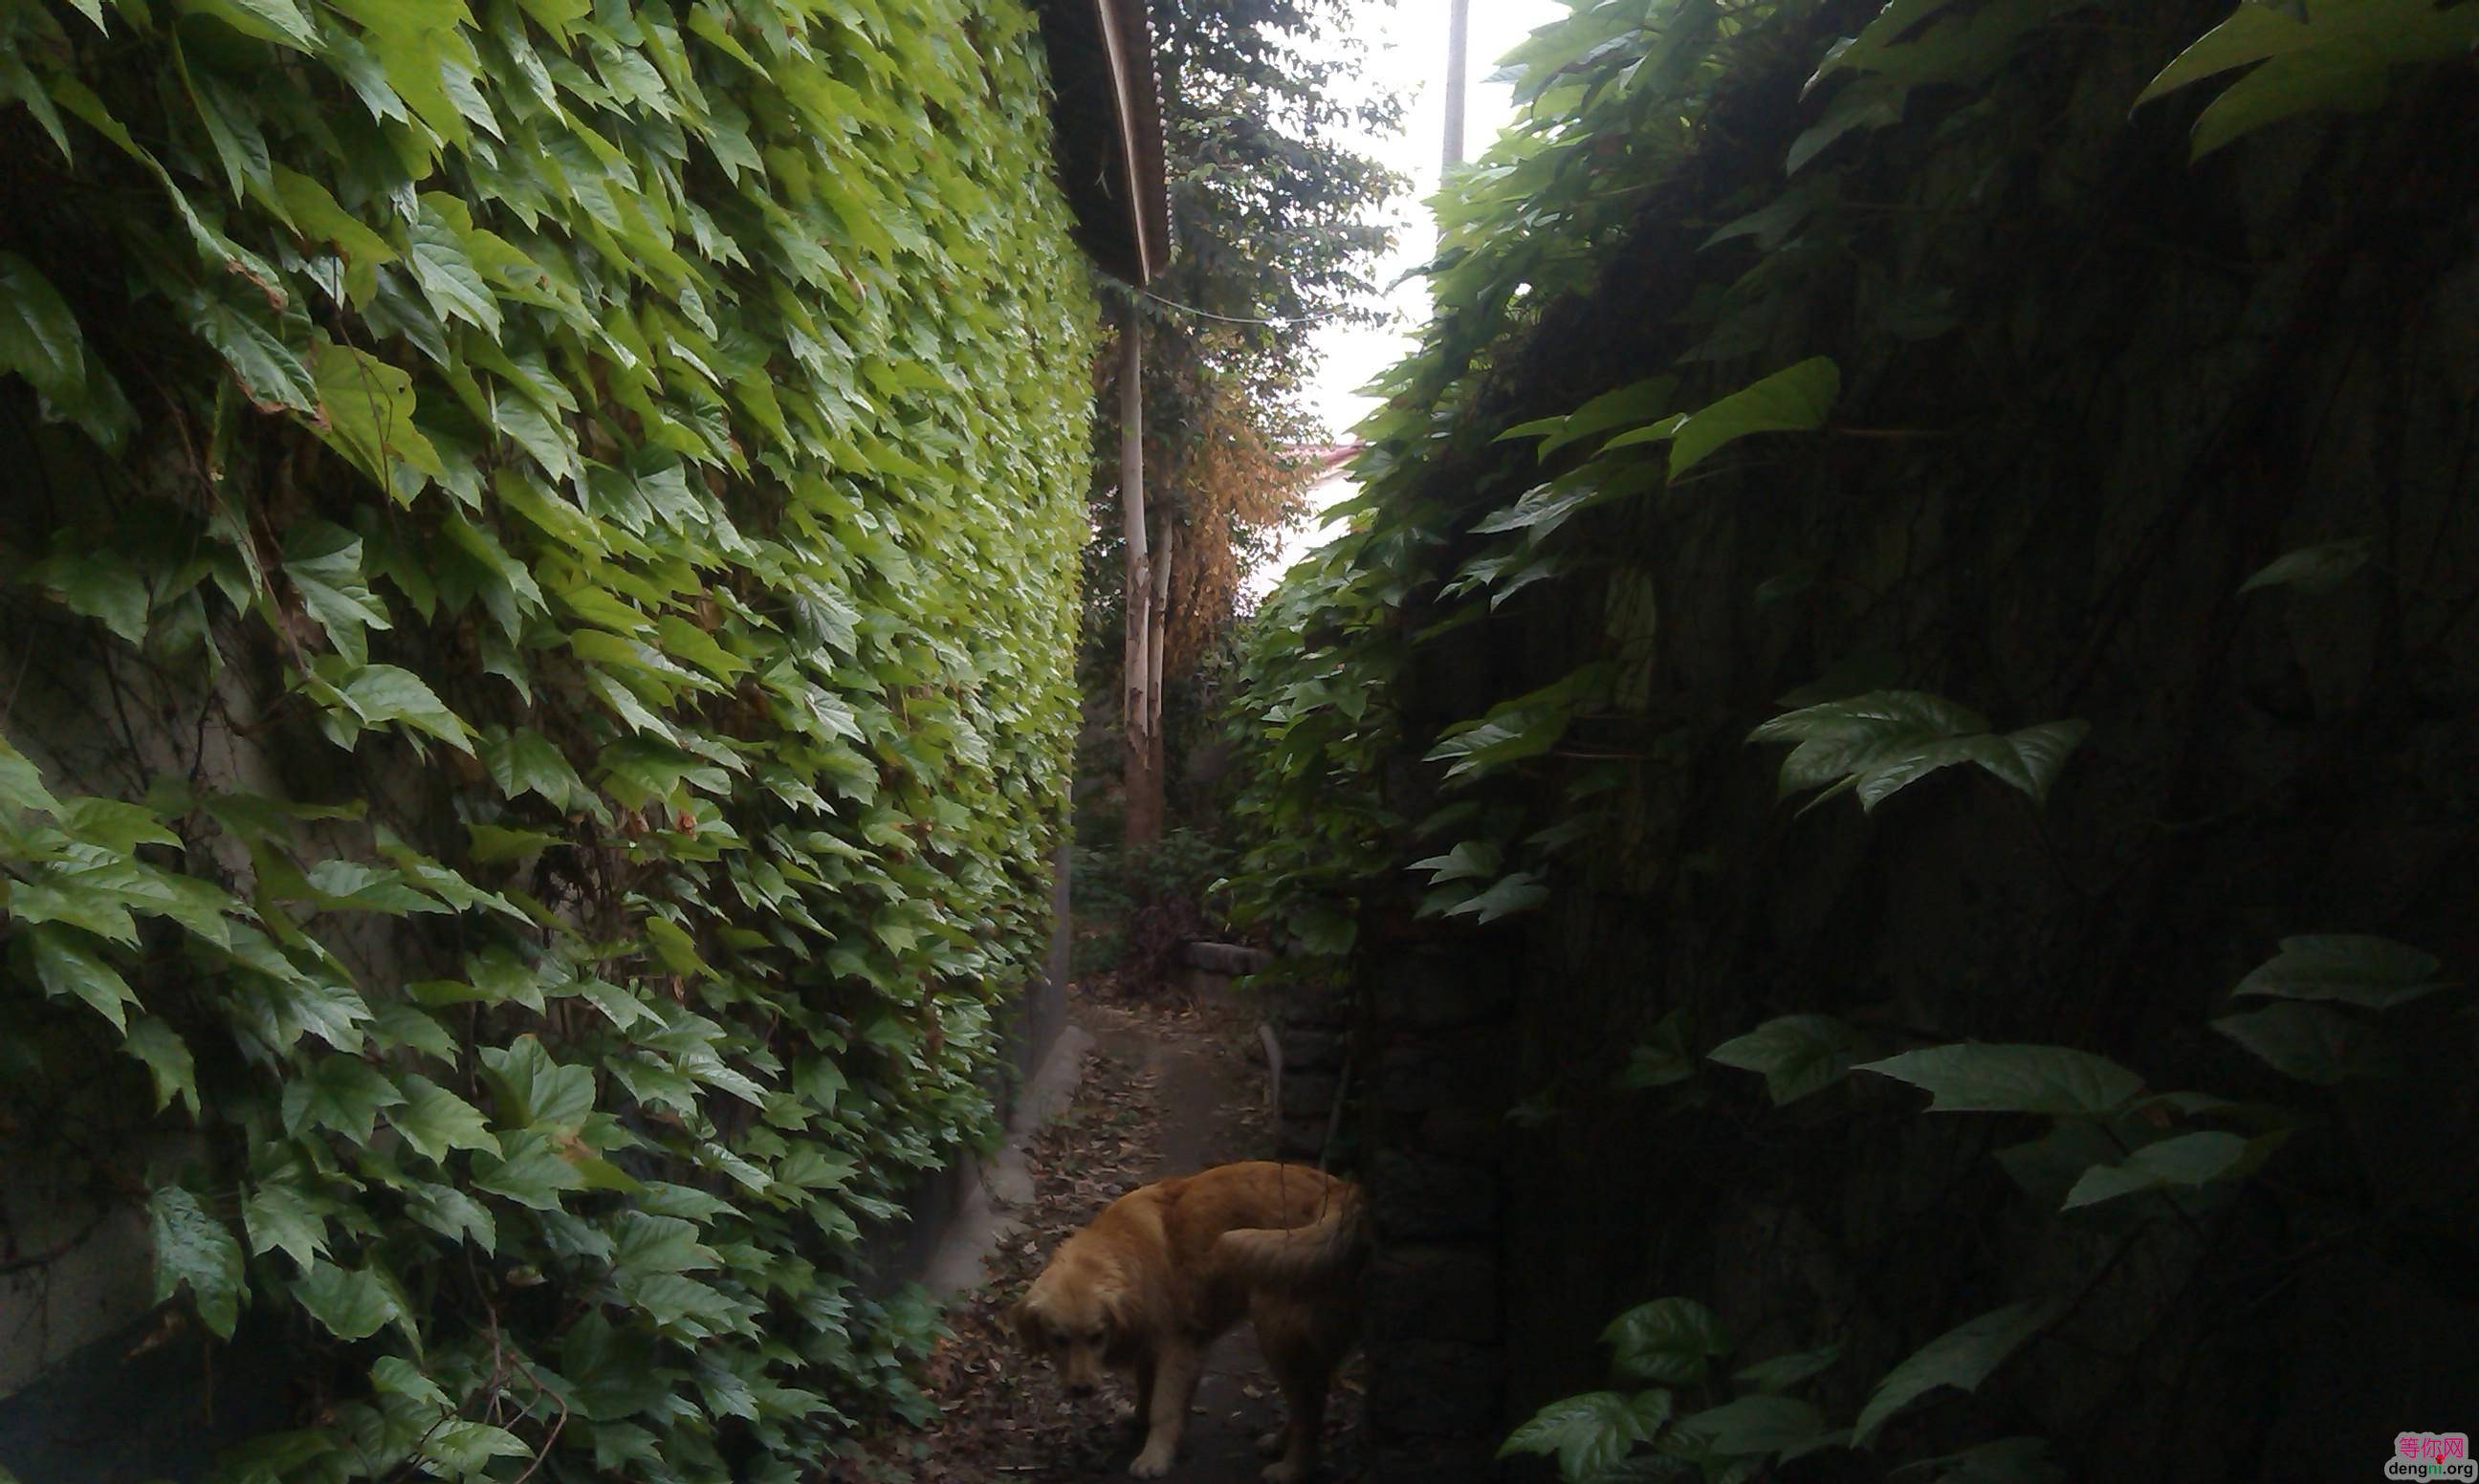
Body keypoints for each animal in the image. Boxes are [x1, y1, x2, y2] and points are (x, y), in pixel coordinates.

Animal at [1007, 1160, 1365, 1482]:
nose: (1081, 1390)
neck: (1125, 1253)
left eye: (1097, 1337)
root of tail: (1344, 1193)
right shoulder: (1153, 1346)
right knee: (1307, 1398)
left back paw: (1291, 1469)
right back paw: (1278, 1444)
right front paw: (1140, 1422)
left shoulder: (1178, 1345)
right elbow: (1148, 1391)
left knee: (1309, 1407)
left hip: (1274, 1329)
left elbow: (1163, 1408)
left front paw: (1155, 1456)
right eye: (1059, 1340)